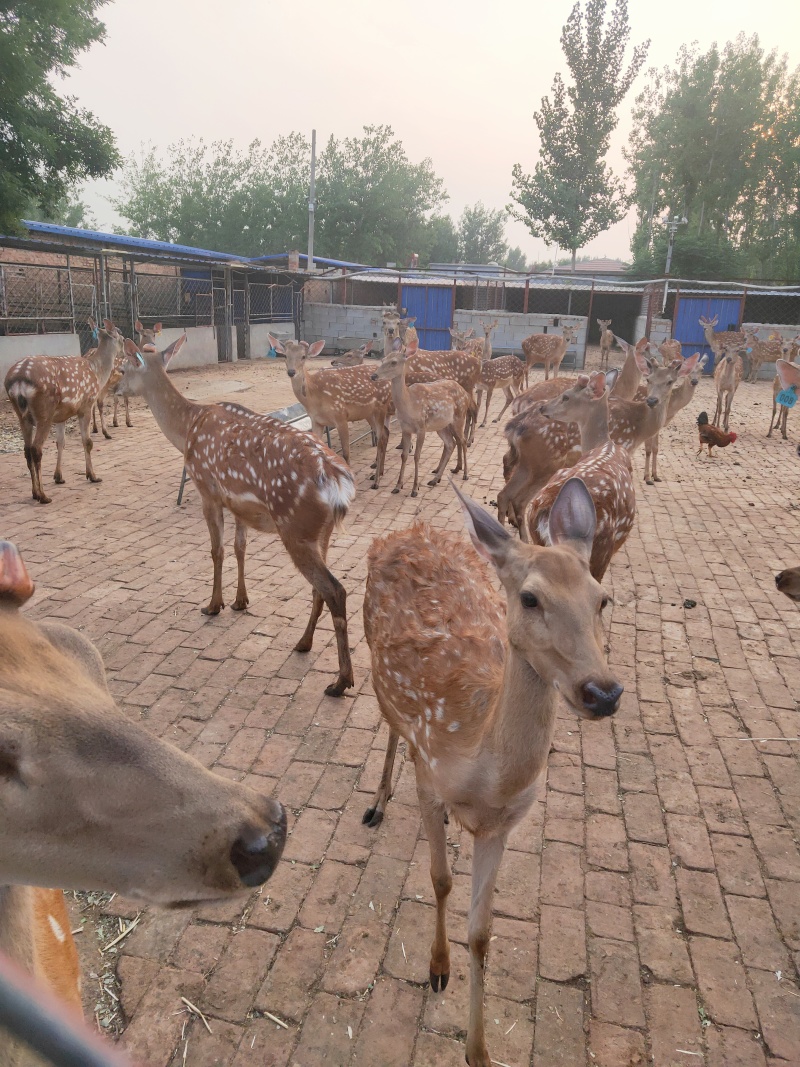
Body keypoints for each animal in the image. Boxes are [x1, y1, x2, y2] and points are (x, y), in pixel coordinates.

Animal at [4, 318, 121, 503]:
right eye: (120, 333)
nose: (126, 346)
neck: (97, 373)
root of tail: (18, 381)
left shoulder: (61, 415)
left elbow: (61, 442)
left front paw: (58, 477)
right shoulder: (86, 405)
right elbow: (87, 442)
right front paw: (93, 476)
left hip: (22, 416)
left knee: (27, 449)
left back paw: (34, 492)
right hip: (44, 412)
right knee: (36, 449)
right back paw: (43, 496)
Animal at [116, 335, 357, 697]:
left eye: (124, 366)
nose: (114, 388)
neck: (187, 429)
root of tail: (338, 481)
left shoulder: (207, 489)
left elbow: (217, 550)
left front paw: (213, 604)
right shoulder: (238, 503)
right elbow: (240, 547)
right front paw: (241, 600)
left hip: (295, 528)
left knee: (335, 590)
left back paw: (340, 681)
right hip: (321, 532)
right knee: (321, 589)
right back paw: (303, 642)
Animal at [273, 335, 391, 487]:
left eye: (303, 356)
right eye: (285, 355)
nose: (291, 372)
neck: (315, 395)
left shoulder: (340, 415)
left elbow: (346, 453)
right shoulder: (316, 421)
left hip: (381, 407)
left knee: (381, 436)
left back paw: (376, 481)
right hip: (369, 413)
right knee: (385, 433)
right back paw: (379, 473)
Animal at [363, 480, 622, 1067]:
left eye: (603, 599)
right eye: (530, 598)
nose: (603, 691)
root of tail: (404, 531)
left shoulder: (504, 824)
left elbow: (482, 932)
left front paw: (478, 1050)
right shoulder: (430, 781)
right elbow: (439, 880)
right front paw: (437, 968)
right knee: (389, 724)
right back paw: (379, 799)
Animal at [370, 338, 470, 496]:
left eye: (394, 362)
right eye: (382, 359)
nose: (373, 376)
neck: (409, 404)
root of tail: (464, 393)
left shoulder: (421, 427)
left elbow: (417, 456)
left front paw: (415, 489)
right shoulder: (406, 428)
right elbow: (404, 455)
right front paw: (398, 486)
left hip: (459, 417)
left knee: (463, 441)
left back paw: (465, 474)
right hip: (441, 425)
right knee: (450, 443)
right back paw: (435, 479)